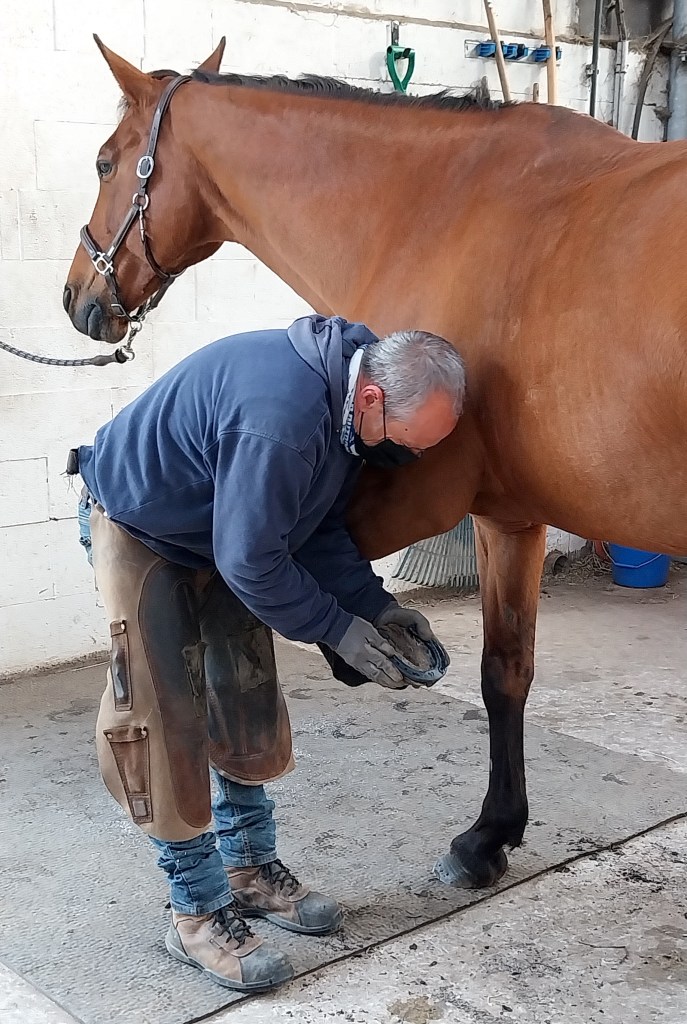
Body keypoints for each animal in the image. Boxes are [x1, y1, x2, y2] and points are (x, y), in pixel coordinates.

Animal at [64, 36, 687, 889]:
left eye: (104, 162)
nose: (77, 299)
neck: (435, 208)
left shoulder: (415, 494)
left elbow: (249, 583)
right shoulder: (510, 516)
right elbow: (506, 670)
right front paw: (492, 834)